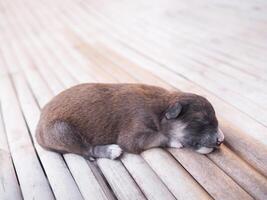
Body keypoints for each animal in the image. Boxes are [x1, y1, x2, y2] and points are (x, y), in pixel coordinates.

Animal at [35, 83, 224, 160]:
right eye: (200, 120)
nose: (221, 140)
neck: (162, 109)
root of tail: (37, 131)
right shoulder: (134, 134)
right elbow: (159, 136)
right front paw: (175, 141)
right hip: (62, 131)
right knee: (86, 150)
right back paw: (110, 151)